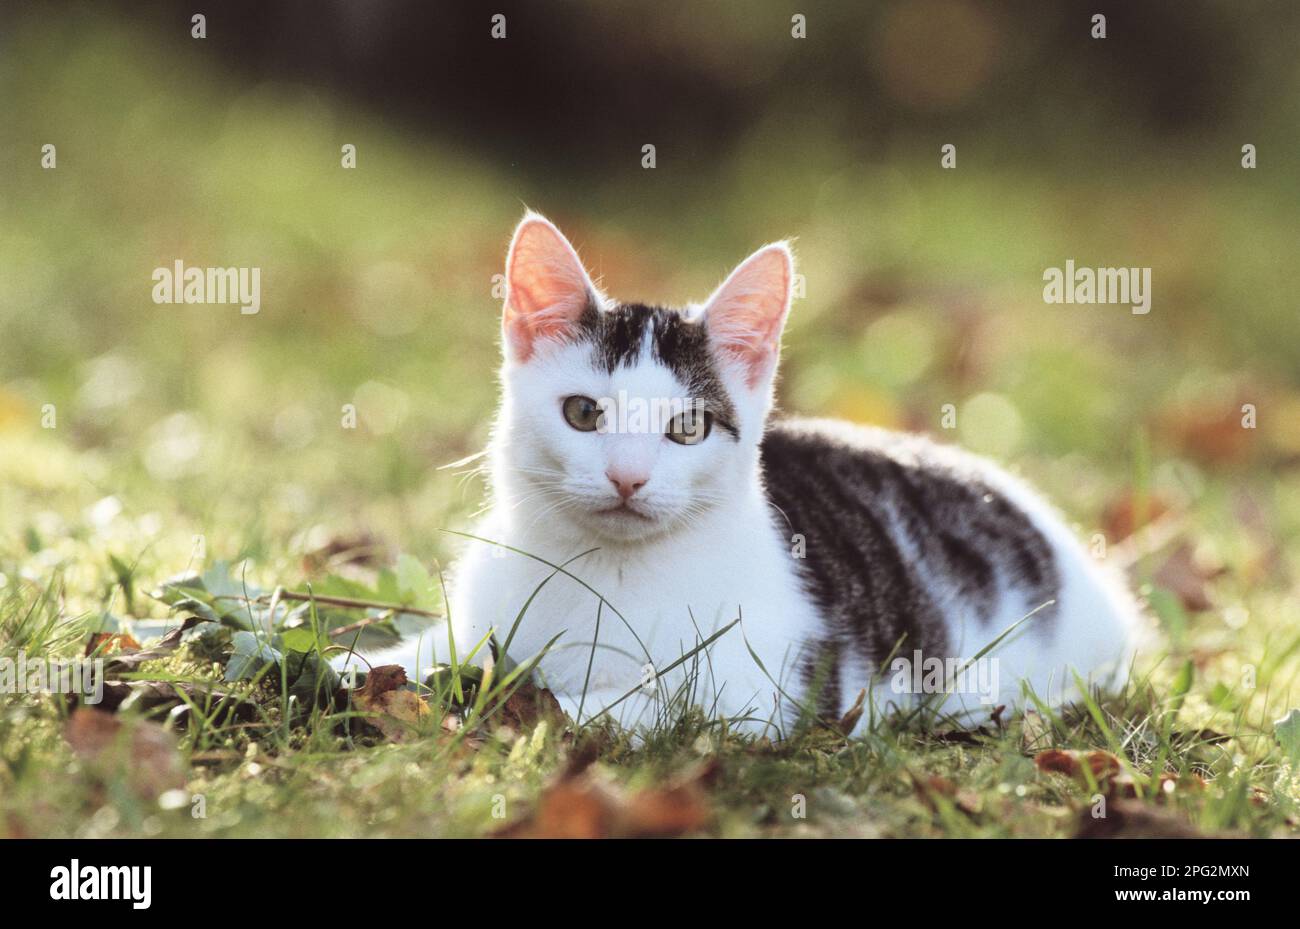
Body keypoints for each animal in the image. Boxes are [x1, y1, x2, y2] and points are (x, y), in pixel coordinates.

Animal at [356, 213, 1138, 732]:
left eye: (688, 428)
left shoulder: (761, 692)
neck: (606, 572)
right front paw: (350, 671)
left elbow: (630, 706)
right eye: (582, 412)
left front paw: (515, 708)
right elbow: (416, 655)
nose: (627, 478)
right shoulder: (479, 619)